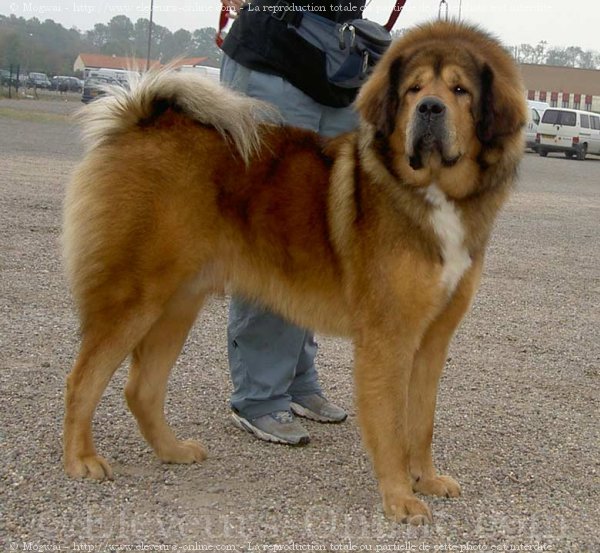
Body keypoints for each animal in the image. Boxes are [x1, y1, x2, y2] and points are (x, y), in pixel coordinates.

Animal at [62, 20, 524, 520]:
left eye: (460, 90)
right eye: (414, 90)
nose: (430, 108)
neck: (430, 192)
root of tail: (140, 119)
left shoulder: (432, 340)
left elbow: (421, 422)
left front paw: (427, 479)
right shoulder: (389, 338)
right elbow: (391, 426)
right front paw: (400, 497)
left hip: (178, 304)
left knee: (140, 388)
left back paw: (172, 450)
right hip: (134, 297)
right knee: (82, 380)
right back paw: (81, 460)